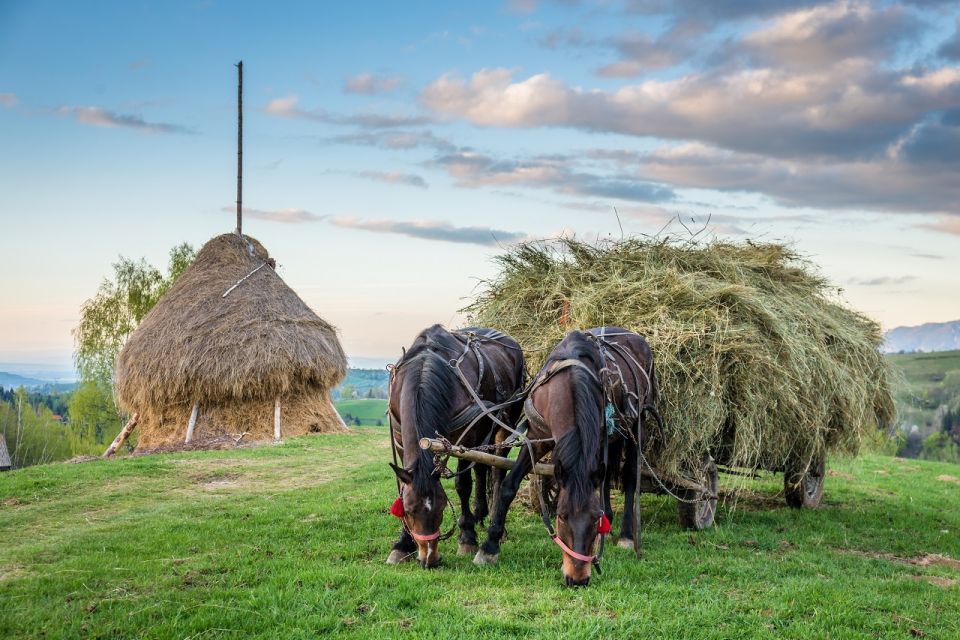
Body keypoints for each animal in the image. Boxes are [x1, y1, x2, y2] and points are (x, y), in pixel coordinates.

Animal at [386, 324, 528, 568]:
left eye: (442, 507)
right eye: (410, 510)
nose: (430, 560)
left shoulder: (466, 438)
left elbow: (463, 485)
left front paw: (467, 537)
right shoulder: (400, 438)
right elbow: (404, 486)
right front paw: (403, 543)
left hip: (505, 422)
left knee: (497, 469)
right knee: (481, 466)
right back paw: (480, 512)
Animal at [474, 328, 660, 588]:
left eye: (593, 519)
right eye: (561, 516)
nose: (578, 579)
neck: (568, 383)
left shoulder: (596, 440)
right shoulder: (537, 438)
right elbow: (509, 486)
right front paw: (489, 547)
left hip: (637, 424)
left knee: (630, 478)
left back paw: (626, 535)